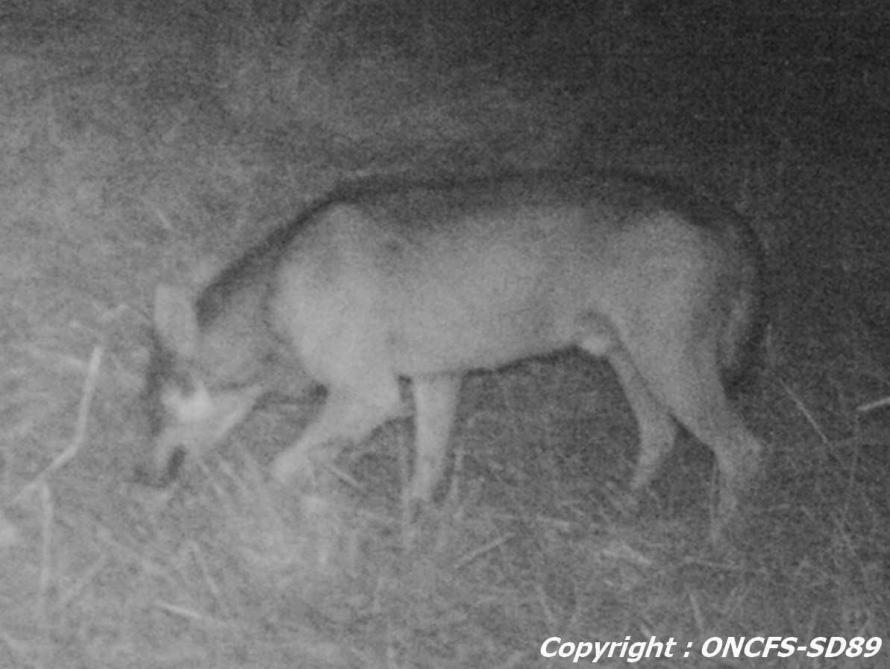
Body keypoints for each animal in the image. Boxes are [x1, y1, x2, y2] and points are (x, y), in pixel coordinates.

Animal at [136, 170, 766, 540]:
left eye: (157, 410)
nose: (138, 480)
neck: (275, 294)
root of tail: (730, 216)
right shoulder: (435, 380)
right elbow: (426, 468)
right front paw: (407, 533)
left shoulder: (369, 396)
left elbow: (282, 467)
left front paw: (260, 521)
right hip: (633, 364)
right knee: (660, 437)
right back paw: (623, 512)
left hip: (672, 368)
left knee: (744, 449)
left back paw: (718, 539)